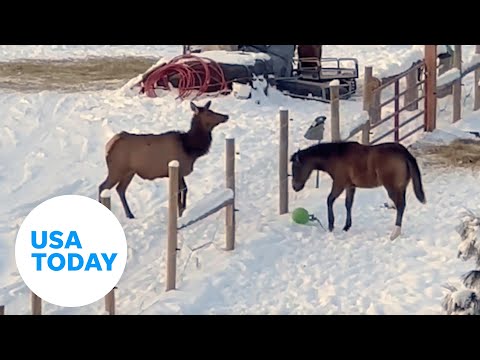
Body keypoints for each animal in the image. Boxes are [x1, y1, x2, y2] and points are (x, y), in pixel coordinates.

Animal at [99, 101, 229, 219]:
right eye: (208, 113)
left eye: (211, 110)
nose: (226, 116)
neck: (190, 148)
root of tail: (108, 145)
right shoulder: (178, 170)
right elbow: (180, 191)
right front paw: (180, 212)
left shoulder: (180, 172)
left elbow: (185, 189)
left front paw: (183, 209)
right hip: (117, 169)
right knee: (103, 186)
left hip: (129, 172)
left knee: (120, 189)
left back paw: (130, 214)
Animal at [290, 142, 426, 240]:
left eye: (296, 167)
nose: (295, 187)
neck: (336, 156)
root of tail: (404, 153)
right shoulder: (350, 186)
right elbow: (348, 204)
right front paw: (346, 226)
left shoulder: (339, 184)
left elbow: (329, 200)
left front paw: (331, 226)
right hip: (401, 188)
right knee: (402, 206)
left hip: (392, 188)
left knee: (400, 206)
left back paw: (394, 234)